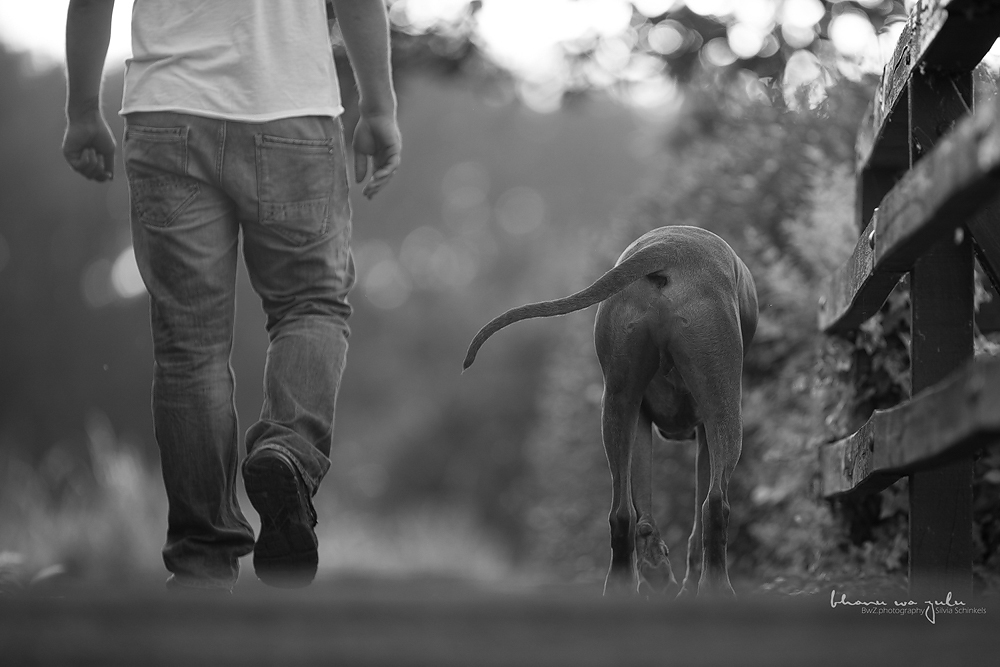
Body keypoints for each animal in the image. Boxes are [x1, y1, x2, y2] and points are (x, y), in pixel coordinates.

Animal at [464, 227, 752, 596]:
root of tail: (669, 249)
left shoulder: (641, 416)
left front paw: (656, 569)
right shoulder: (703, 428)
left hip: (618, 400)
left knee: (622, 513)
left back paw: (625, 585)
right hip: (724, 404)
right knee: (714, 503)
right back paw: (716, 588)